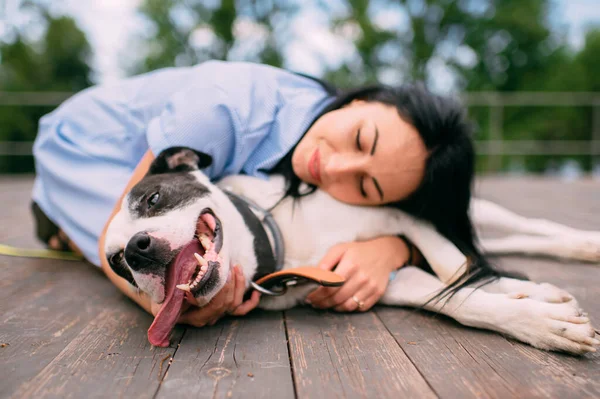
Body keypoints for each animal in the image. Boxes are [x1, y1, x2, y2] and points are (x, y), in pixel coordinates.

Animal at [104, 148, 600, 354]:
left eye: (153, 198)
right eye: (118, 264)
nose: (137, 250)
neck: (285, 244)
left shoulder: (401, 219)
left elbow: (456, 268)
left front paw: (530, 301)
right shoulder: (384, 280)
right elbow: (459, 298)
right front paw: (537, 317)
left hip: (469, 210)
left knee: (520, 230)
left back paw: (583, 245)